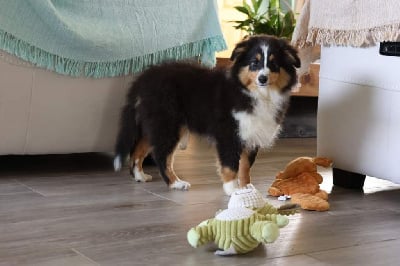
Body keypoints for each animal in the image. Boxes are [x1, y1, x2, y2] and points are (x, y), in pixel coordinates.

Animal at [112, 34, 300, 195]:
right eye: (254, 62)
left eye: (274, 64)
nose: (262, 78)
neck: (254, 93)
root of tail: (143, 80)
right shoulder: (228, 133)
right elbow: (231, 164)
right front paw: (232, 189)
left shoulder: (251, 133)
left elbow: (246, 166)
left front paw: (247, 188)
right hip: (169, 123)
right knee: (161, 156)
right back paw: (176, 183)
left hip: (155, 123)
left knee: (138, 149)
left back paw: (140, 176)